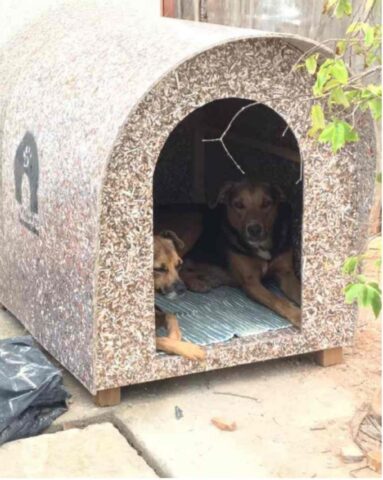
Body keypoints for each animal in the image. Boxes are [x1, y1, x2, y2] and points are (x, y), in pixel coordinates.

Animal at [154, 225, 206, 360]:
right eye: (159, 269)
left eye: (178, 265)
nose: (183, 289)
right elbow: (161, 339)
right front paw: (188, 349)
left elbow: (170, 315)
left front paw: (175, 334)